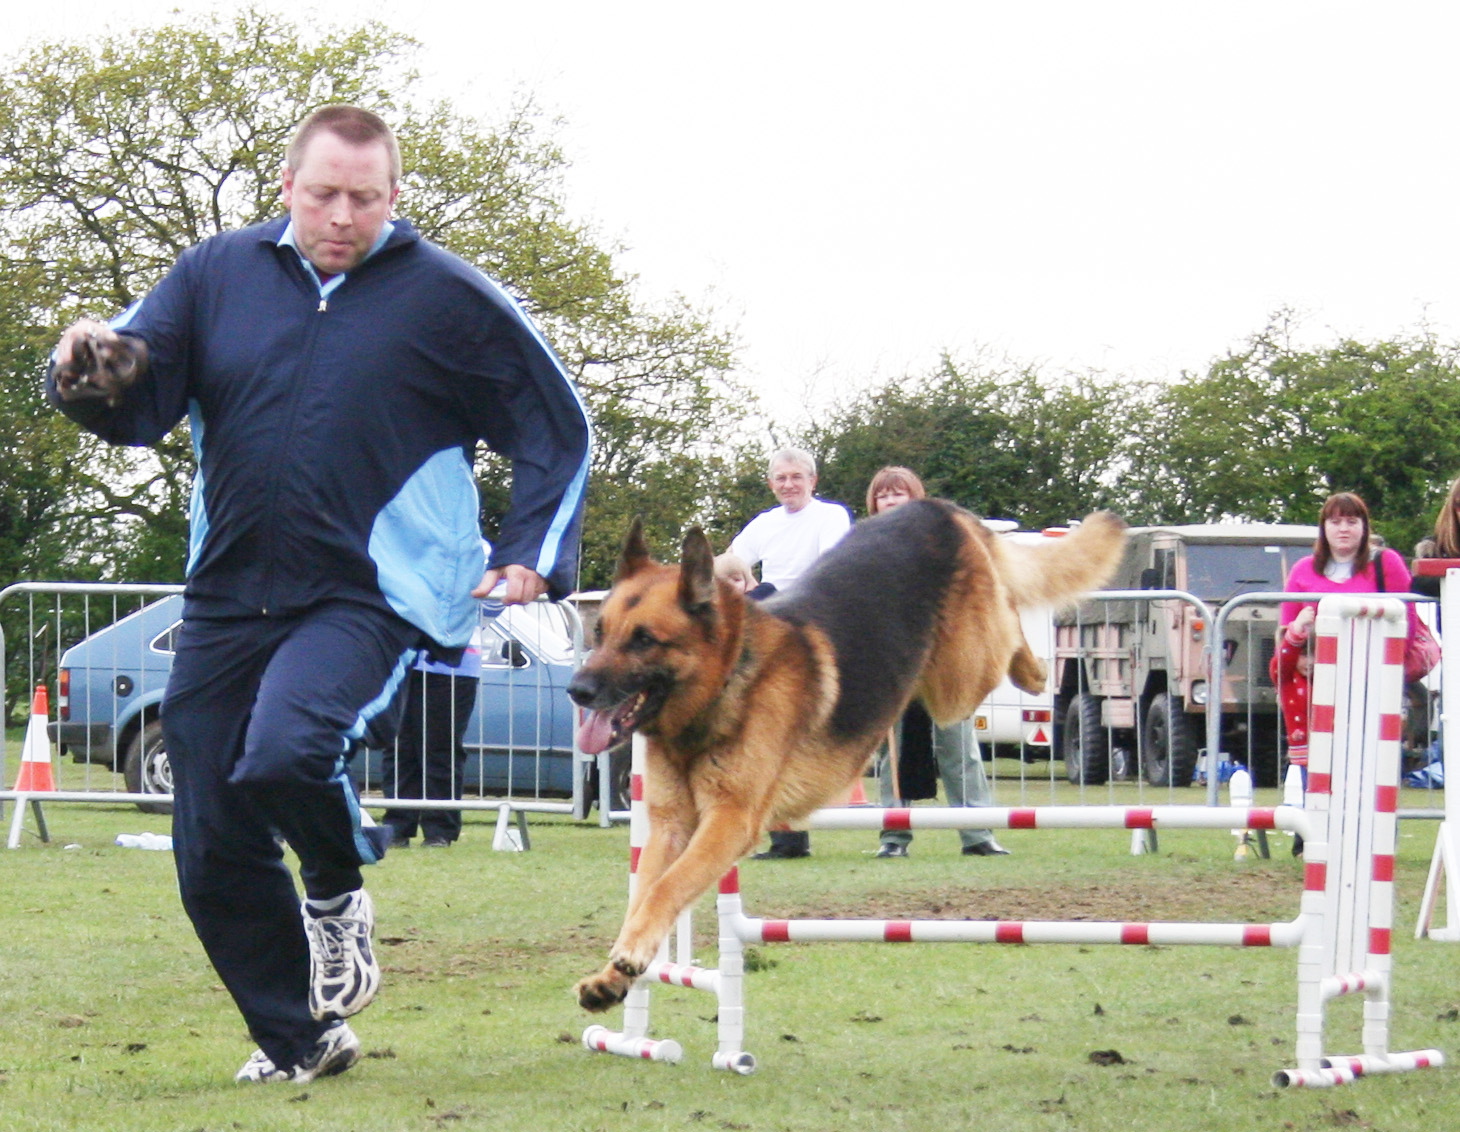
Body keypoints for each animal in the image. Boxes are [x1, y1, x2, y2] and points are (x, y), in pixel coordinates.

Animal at [563, 499, 1121, 1016]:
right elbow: (644, 893)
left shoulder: (728, 821)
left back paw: (1035, 670)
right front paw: (613, 976)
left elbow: (666, 888)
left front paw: (629, 956)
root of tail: (936, 507)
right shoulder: (671, 826)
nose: (576, 690)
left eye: (644, 640)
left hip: (959, 680)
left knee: (1010, 622)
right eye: (600, 633)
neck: (726, 683)